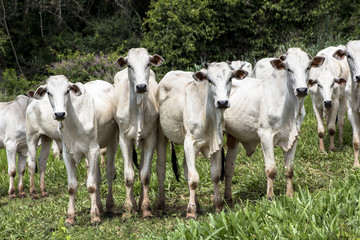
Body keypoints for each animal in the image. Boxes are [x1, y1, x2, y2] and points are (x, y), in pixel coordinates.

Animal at [31, 77, 118, 225]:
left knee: (109, 172)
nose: (59, 114)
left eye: (67, 91)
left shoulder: (93, 151)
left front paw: (94, 217)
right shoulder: (67, 155)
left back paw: (109, 206)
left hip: (112, 142)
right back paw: (99, 207)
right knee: (98, 177)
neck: (74, 122)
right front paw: (70, 217)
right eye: (49, 92)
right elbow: (72, 186)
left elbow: (91, 185)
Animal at [113, 47, 164, 218]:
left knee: (142, 167)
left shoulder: (150, 138)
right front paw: (128, 209)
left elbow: (145, 174)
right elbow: (129, 176)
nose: (141, 87)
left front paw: (146, 208)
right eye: (129, 65)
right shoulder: (124, 139)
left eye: (148, 63)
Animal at [156, 62, 249, 219]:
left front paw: (218, 206)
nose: (222, 102)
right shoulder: (190, 144)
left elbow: (215, 175)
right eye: (210, 80)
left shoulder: (216, 144)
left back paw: (198, 204)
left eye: (230, 78)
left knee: (186, 170)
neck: (208, 116)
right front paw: (190, 212)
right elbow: (193, 179)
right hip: (163, 136)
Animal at [224, 47, 324, 202]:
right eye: (289, 69)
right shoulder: (265, 135)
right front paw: (270, 197)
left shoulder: (294, 136)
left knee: (229, 168)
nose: (301, 90)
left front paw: (290, 194)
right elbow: (271, 170)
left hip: (233, 138)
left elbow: (289, 169)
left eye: (308, 67)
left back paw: (228, 199)